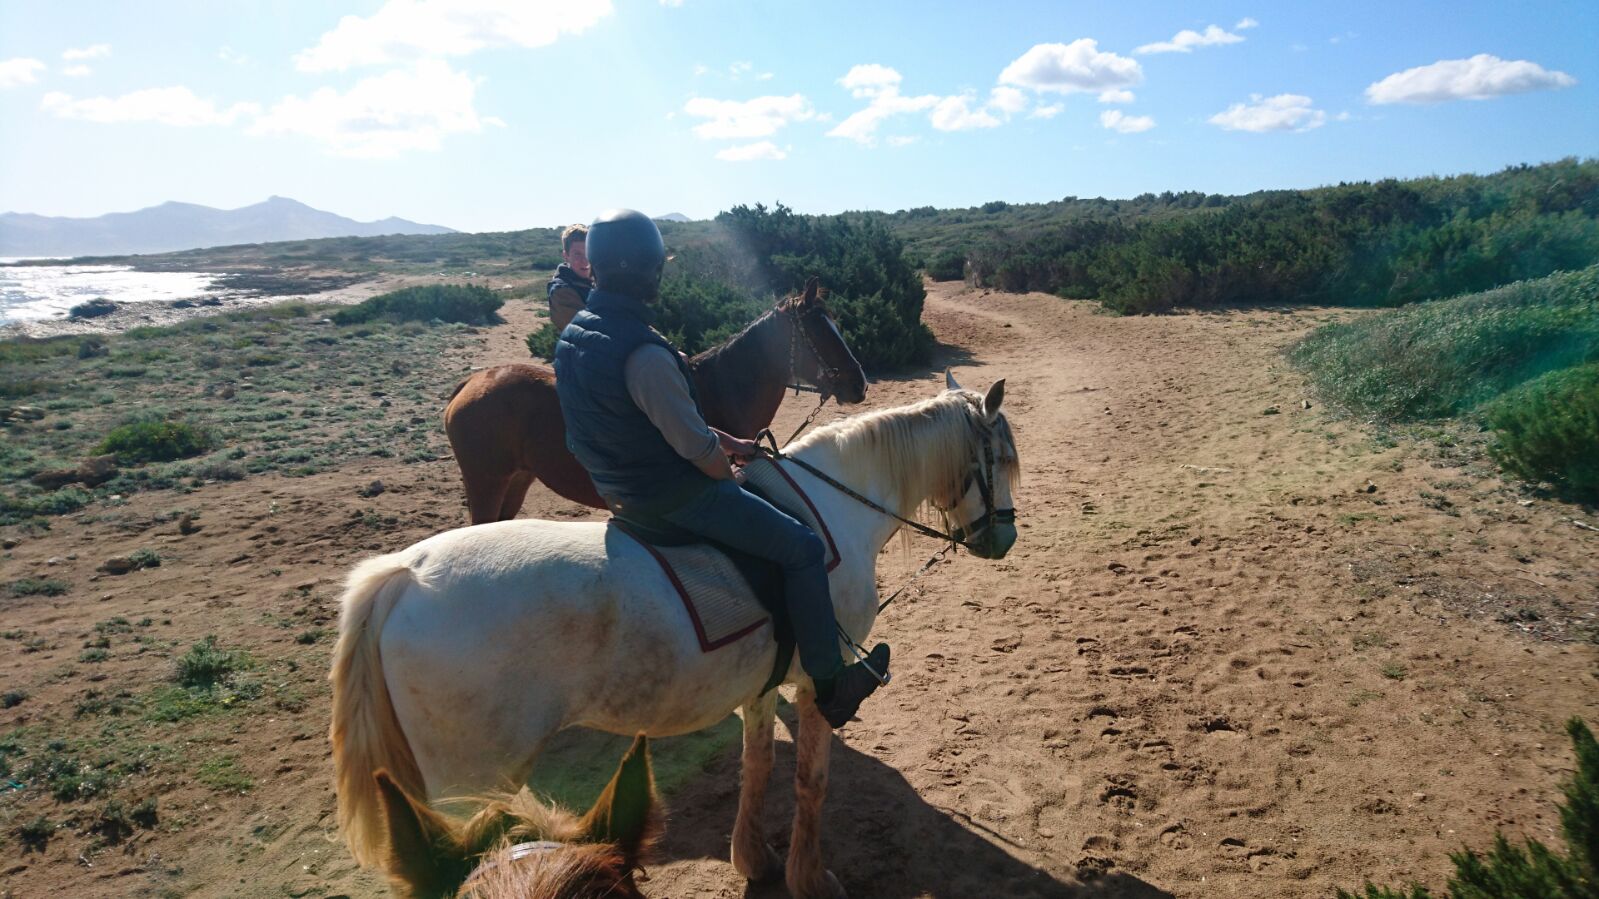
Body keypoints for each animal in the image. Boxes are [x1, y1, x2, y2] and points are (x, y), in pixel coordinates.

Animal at [444, 276, 869, 521]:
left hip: (517, 479)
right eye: (819, 331)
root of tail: (470, 383)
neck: (718, 389)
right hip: (486, 483)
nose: (859, 383)